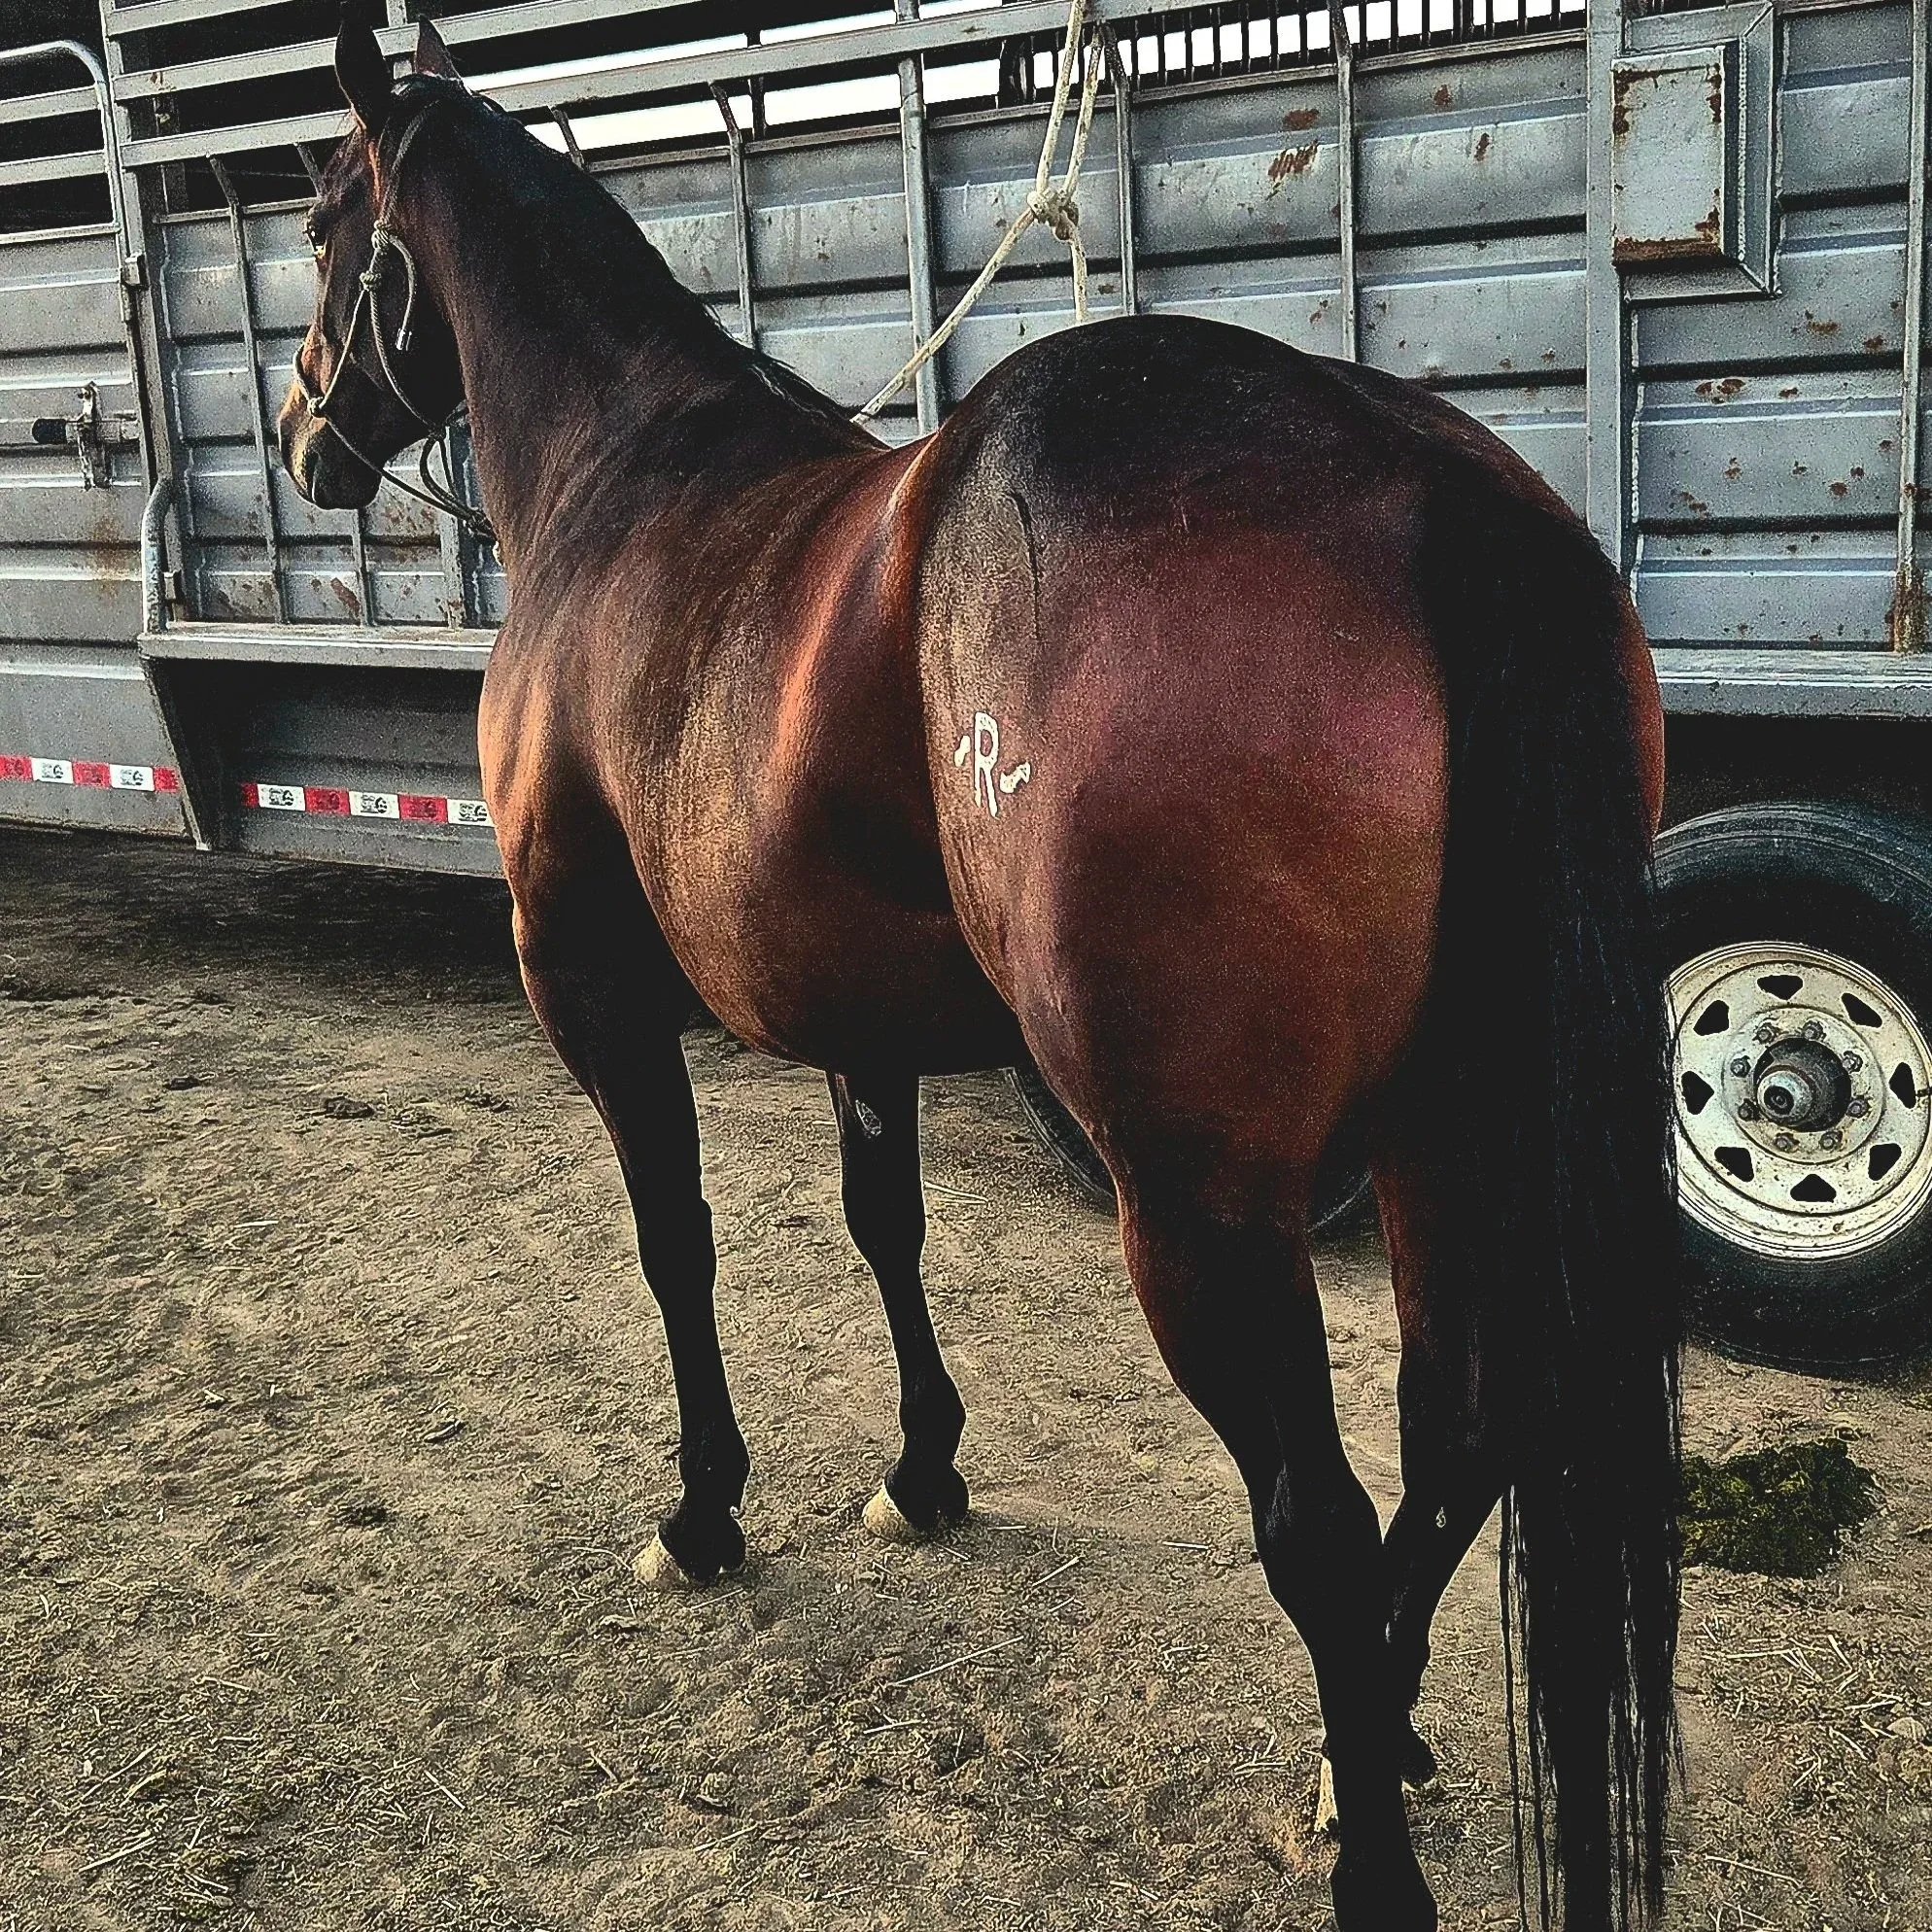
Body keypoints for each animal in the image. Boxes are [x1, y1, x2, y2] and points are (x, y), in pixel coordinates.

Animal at [279, 20, 1682, 1930]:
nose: (302, 430)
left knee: (1315, 1516)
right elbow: (887, 1229)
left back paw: (1367, 1842)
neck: (622, 483)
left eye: (320, 223)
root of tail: (1420, 484)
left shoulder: (596, 1000)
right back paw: (1369, 1741)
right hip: (1440, 1129)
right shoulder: (854, 1021)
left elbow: (675, 1244)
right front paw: (921, 1469)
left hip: (1201, 1203)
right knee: (1460, 1433)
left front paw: (704, 1510)